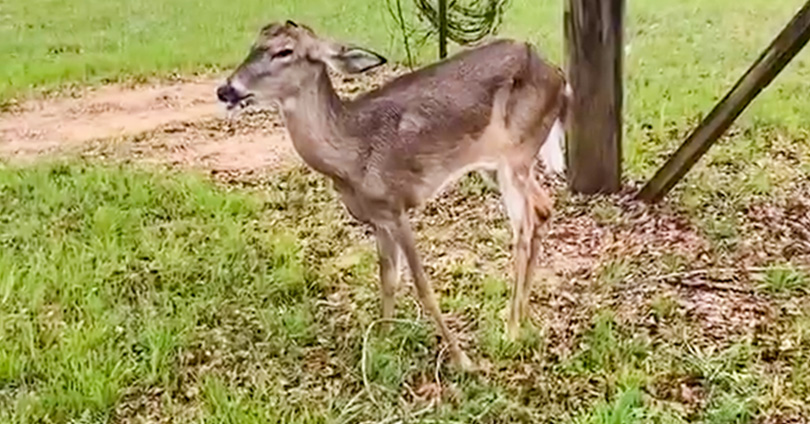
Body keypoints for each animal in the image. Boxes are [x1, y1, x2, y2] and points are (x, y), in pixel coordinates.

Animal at [215, 20, 568, 372]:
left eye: (284, 51)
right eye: (253, 44)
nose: (226, 90)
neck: (351, 155)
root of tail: (559, 78)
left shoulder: (397, 206)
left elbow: (422, 285)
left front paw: (462, 360)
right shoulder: (378, 217)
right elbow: (387, 280)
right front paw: (381, 344)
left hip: (516, 153)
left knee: (523, 229)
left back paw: (511, 329)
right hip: (497, 165)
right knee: (543, 208)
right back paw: (523, 319)